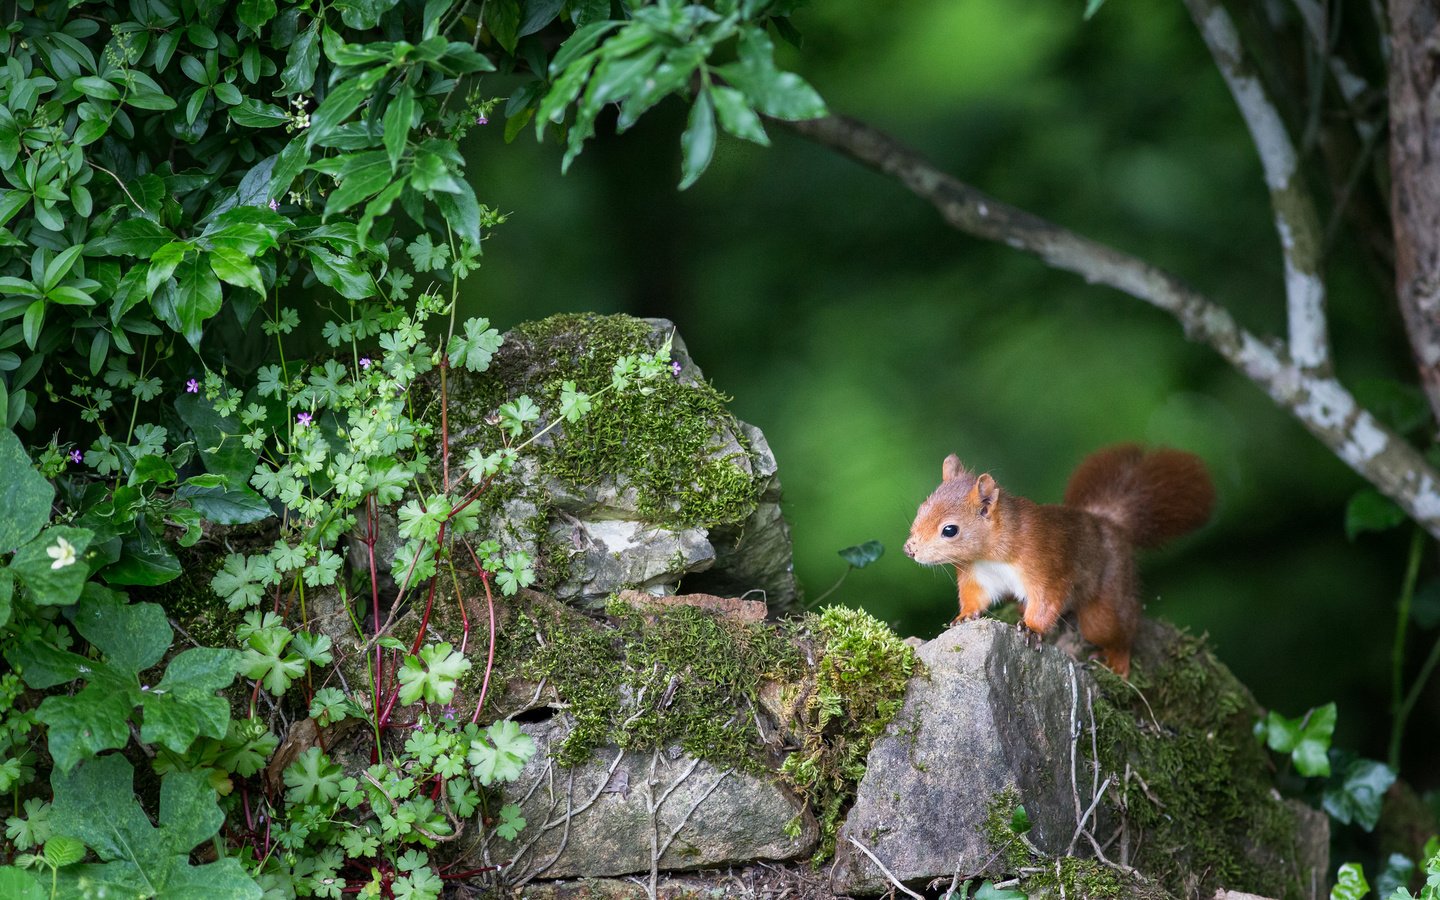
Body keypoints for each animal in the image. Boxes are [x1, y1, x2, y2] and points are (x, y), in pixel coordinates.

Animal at [904, 443, 1209, 673]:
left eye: (950, 530)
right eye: (921, 509)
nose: (910, 549)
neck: (990, 555)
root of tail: (1109, 523)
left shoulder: (1045, 565)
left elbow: (1046, 600)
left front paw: (1031, 628)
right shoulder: (977, 575)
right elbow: (975, 597)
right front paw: (965, 616)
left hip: (1107, 601)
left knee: (1121, 629)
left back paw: (1117, 663)